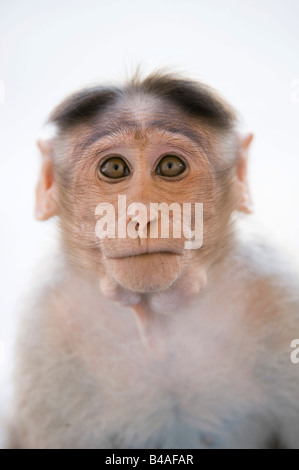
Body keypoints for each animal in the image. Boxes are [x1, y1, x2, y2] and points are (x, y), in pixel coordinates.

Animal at [5, 71, 299, 450]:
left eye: (171, 166)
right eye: (114, 167)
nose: (143, 214)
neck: (157, 322)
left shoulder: (277, 296)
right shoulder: (48, 327)